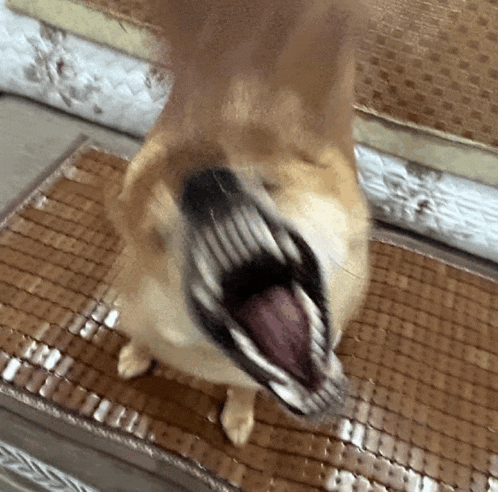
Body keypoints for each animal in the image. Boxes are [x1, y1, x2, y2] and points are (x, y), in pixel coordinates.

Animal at [108, 0, 370, 446]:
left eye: (270, 184)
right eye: (159, 235)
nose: (204, 185)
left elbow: (243, 389)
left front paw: (238, 414)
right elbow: (141, 334)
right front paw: (136, 354)